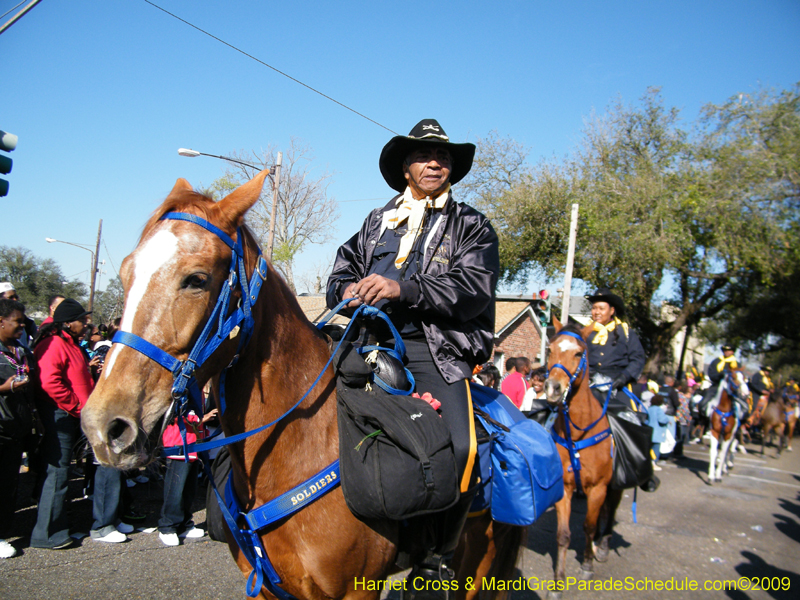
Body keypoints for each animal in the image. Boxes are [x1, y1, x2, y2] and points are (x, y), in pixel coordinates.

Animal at [79, 172, 520, 600]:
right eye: (125, 273)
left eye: (196, 279)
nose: (105, 426)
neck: (297, 449)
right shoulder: (266, 589)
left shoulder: (354, 592)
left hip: (482, 561)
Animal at [540, 324, 620, 600]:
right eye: (550, 349)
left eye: (578, 353)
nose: (552, 388)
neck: (578, 433)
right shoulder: (565, 487)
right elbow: (563, 535)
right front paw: (557, 583)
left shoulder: (598, 487)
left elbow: (589, 526)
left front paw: (587, 564)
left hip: (614, 486)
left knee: (610, 510)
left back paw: (603, 547)